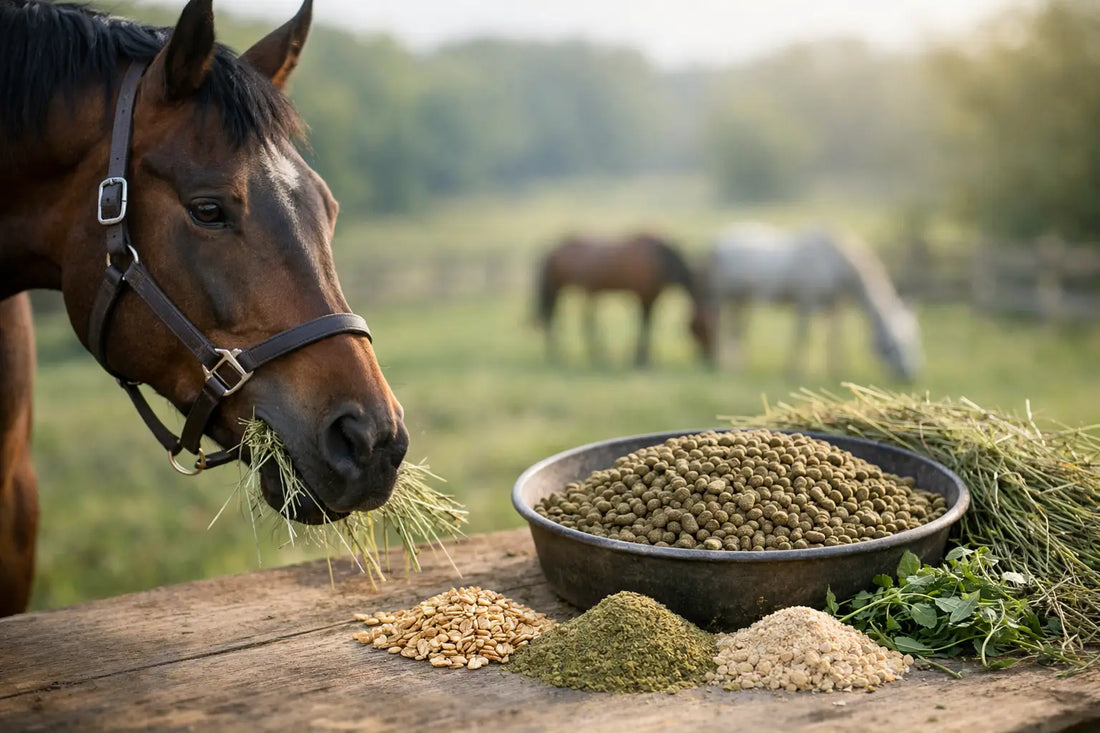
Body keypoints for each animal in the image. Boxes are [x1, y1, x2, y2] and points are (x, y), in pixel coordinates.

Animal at [534, 233, 716, 367]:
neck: (659, 259)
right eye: (703, 327)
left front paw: (643, 359)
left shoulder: (650, 298)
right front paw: (640, 360)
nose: (711, 360)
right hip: (563, 290)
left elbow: (647, 325)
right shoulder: (645, 297)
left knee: (566, 318)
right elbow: (645, 325)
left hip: (567, 291)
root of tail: (552, 251)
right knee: (560, 318)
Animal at [703, 223, 922, 382]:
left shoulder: (833, 308)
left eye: (913, 338)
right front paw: (793, 371)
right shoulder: (807, 302)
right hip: (723, 297)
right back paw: (724, 364)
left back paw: (738, 363)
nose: (910, 375)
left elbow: (834, 338)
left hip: (740, 300)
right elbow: (804, 336)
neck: (835, 264)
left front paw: (837, 370)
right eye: (892, 343)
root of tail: (718, 243)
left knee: (737, 330)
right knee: (721, 327)